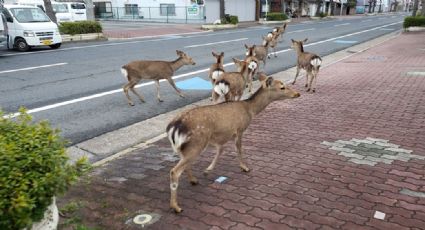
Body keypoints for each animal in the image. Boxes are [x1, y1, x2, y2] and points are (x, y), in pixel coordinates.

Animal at [166, 73, 302, 213]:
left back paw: (193, 180)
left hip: (185, 147)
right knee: (174, 171)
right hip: (197, 143)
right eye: (282, 87)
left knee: (184, 164)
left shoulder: (220, 135)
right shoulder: (240, 129)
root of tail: (173, 127)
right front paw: (245, 167)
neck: (250, 110)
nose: (297, 94)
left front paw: (207, 170)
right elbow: (239, 149)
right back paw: (176, 206)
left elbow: (221, 150)